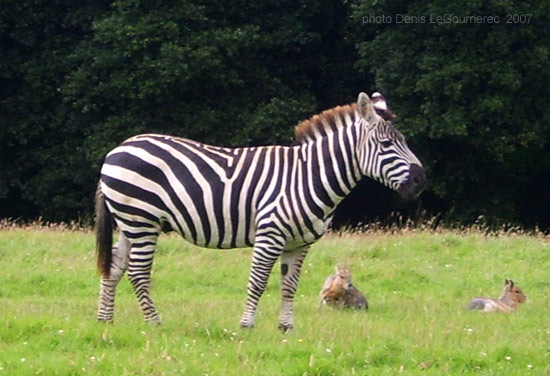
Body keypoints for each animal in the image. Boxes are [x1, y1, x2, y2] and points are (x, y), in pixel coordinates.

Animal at [96, 92, 426, 330]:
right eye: (386, 144)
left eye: (404, 141)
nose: (421, 179)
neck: (308, 177)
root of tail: (118, 148)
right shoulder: (270, 234)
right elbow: (258, 282)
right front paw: (246, 325)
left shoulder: (299, 243)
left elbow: (290, 286)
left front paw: (286, 328)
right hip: (142, 220)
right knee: (138, 272)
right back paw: (155, 324)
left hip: (129, 222)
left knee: (115, 264)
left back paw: (105, 321)